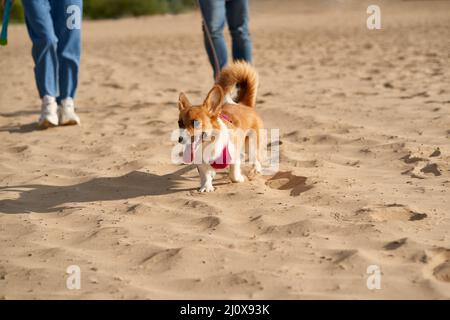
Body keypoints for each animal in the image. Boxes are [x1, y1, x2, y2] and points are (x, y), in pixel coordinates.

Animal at [177, 61, 262, 191]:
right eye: (179, 123)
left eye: (195, 122)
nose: (180, 139)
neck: (208, 144)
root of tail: (243, 105)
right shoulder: (201, 164)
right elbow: (206, 174)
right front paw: (206, 187)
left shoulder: (234, 156)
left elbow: (233, 174)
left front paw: (240, 178)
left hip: (251, 143)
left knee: (255, 157)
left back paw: (256, 169)